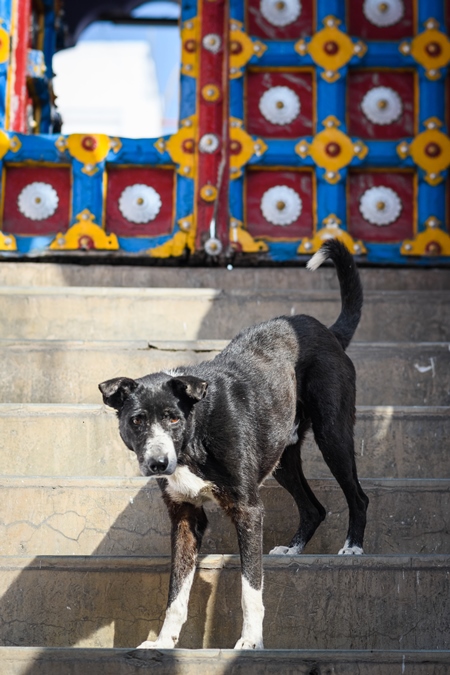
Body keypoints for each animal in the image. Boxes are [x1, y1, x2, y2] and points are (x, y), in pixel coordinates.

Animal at [99, 240, 370, 652]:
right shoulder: (185, 518)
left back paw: (353, 546)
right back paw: (293, 548)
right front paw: (163, 642)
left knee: (357, 495)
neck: (194, 439)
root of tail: (327, 331)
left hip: (333, 435)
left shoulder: (248, 511)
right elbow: (176, 592)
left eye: (173, 419)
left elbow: (250, 587)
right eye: (137, 421)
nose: (158, 464)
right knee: (314, 507)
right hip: (281, 456)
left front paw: (251, 641)